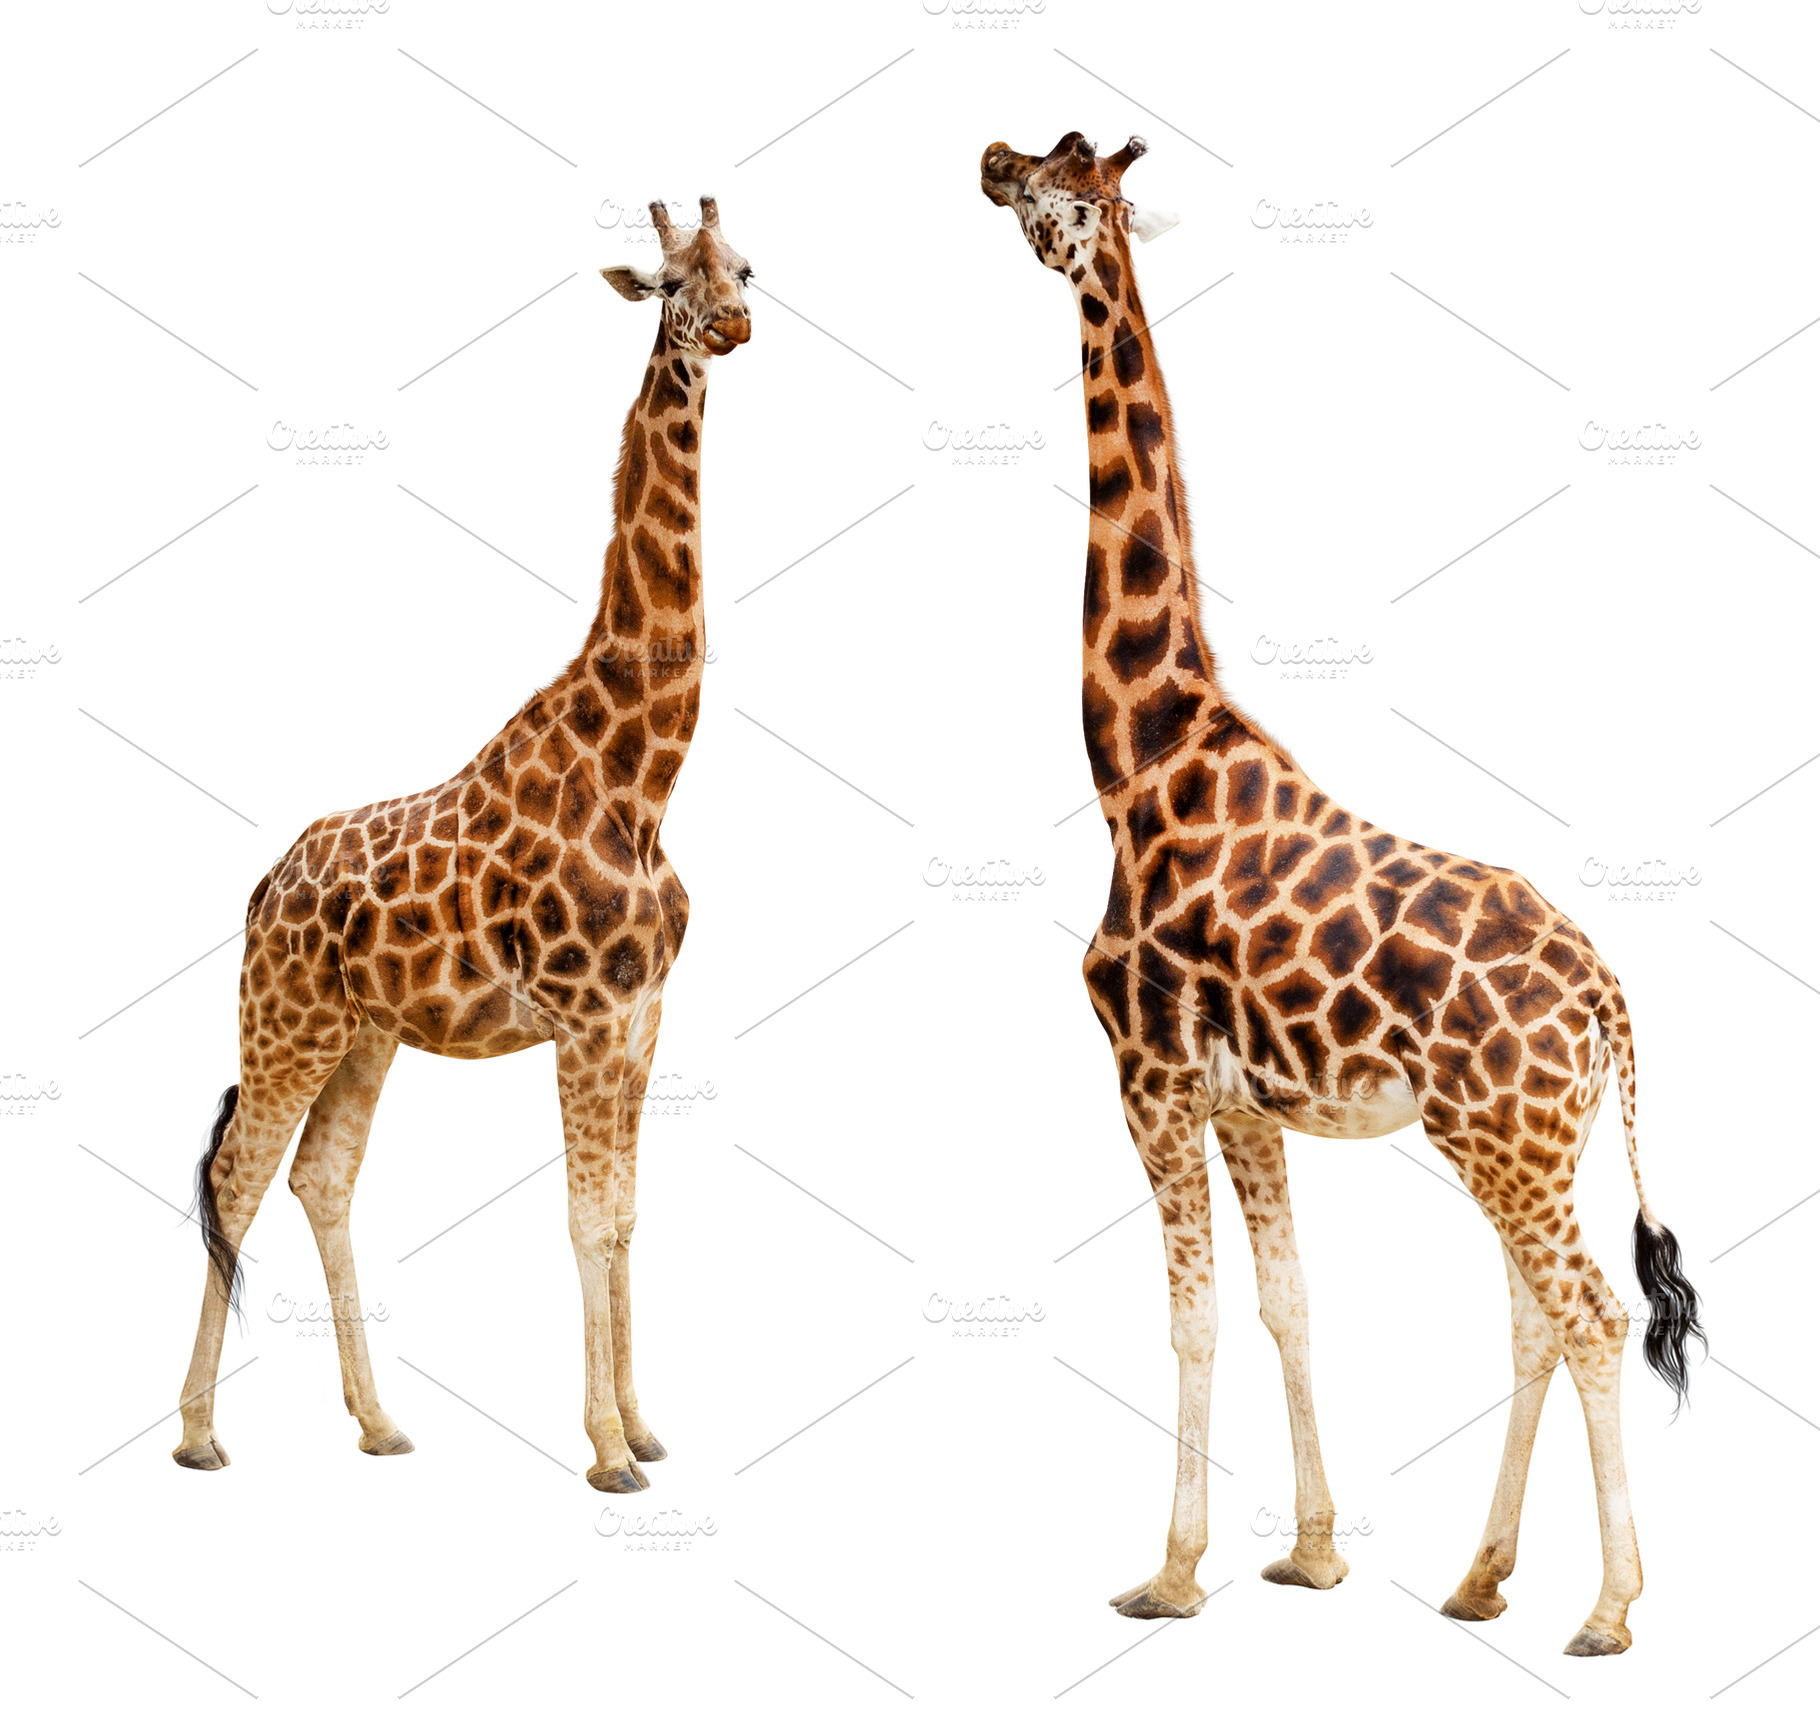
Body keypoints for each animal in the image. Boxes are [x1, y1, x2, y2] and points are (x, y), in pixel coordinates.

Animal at [172, 196, 753, 1493]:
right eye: (667, 282)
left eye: (745, 268)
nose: (731, 326)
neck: (641, 776)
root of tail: (264, 882)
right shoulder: (586, 1022)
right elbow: (585, 1218)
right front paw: (606, 1454)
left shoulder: (640, 1020)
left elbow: (624, 1216)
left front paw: (641, 1426)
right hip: (284, 1018)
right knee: (237, 1177)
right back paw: (196, 1434)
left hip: (364, 1033)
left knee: (319, 1178)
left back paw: (379, 1422)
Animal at [981, 133, 1702, 1655]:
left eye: (1059, 187)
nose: (986, 158)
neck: (1137, 760)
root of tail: (1608, 996)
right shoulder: (1245, 1100)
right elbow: (1285, 1302)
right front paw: (1310, 1555)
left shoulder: (1146, 1075)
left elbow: (1192, 1315)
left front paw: (1168, 1575)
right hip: (1521, 1141)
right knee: (1536, 1316)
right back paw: (1481, 1578)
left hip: (1505, 1140)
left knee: (1593, 1313)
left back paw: (1607, 1609)